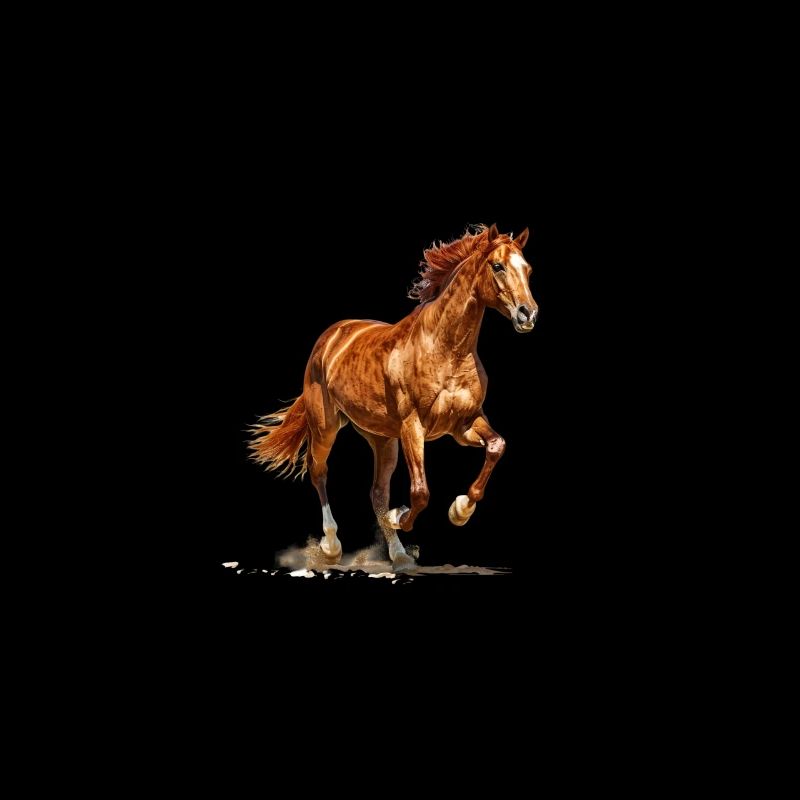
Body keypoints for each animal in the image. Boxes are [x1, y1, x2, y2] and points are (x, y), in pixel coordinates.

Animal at [249, 223, 538, 571]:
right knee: (319, 472)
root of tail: (332, 335)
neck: (447, 349)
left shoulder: (464, 424)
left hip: (382, 438)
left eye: (528, 269)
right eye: (497, 266)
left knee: (376, 492)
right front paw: (401, 516)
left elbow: (496, 446)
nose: (528, 314)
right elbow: (420, 492)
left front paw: (460, 510)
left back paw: (399, 555)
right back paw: (332, 546)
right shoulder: (413, 427)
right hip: (326, 426)